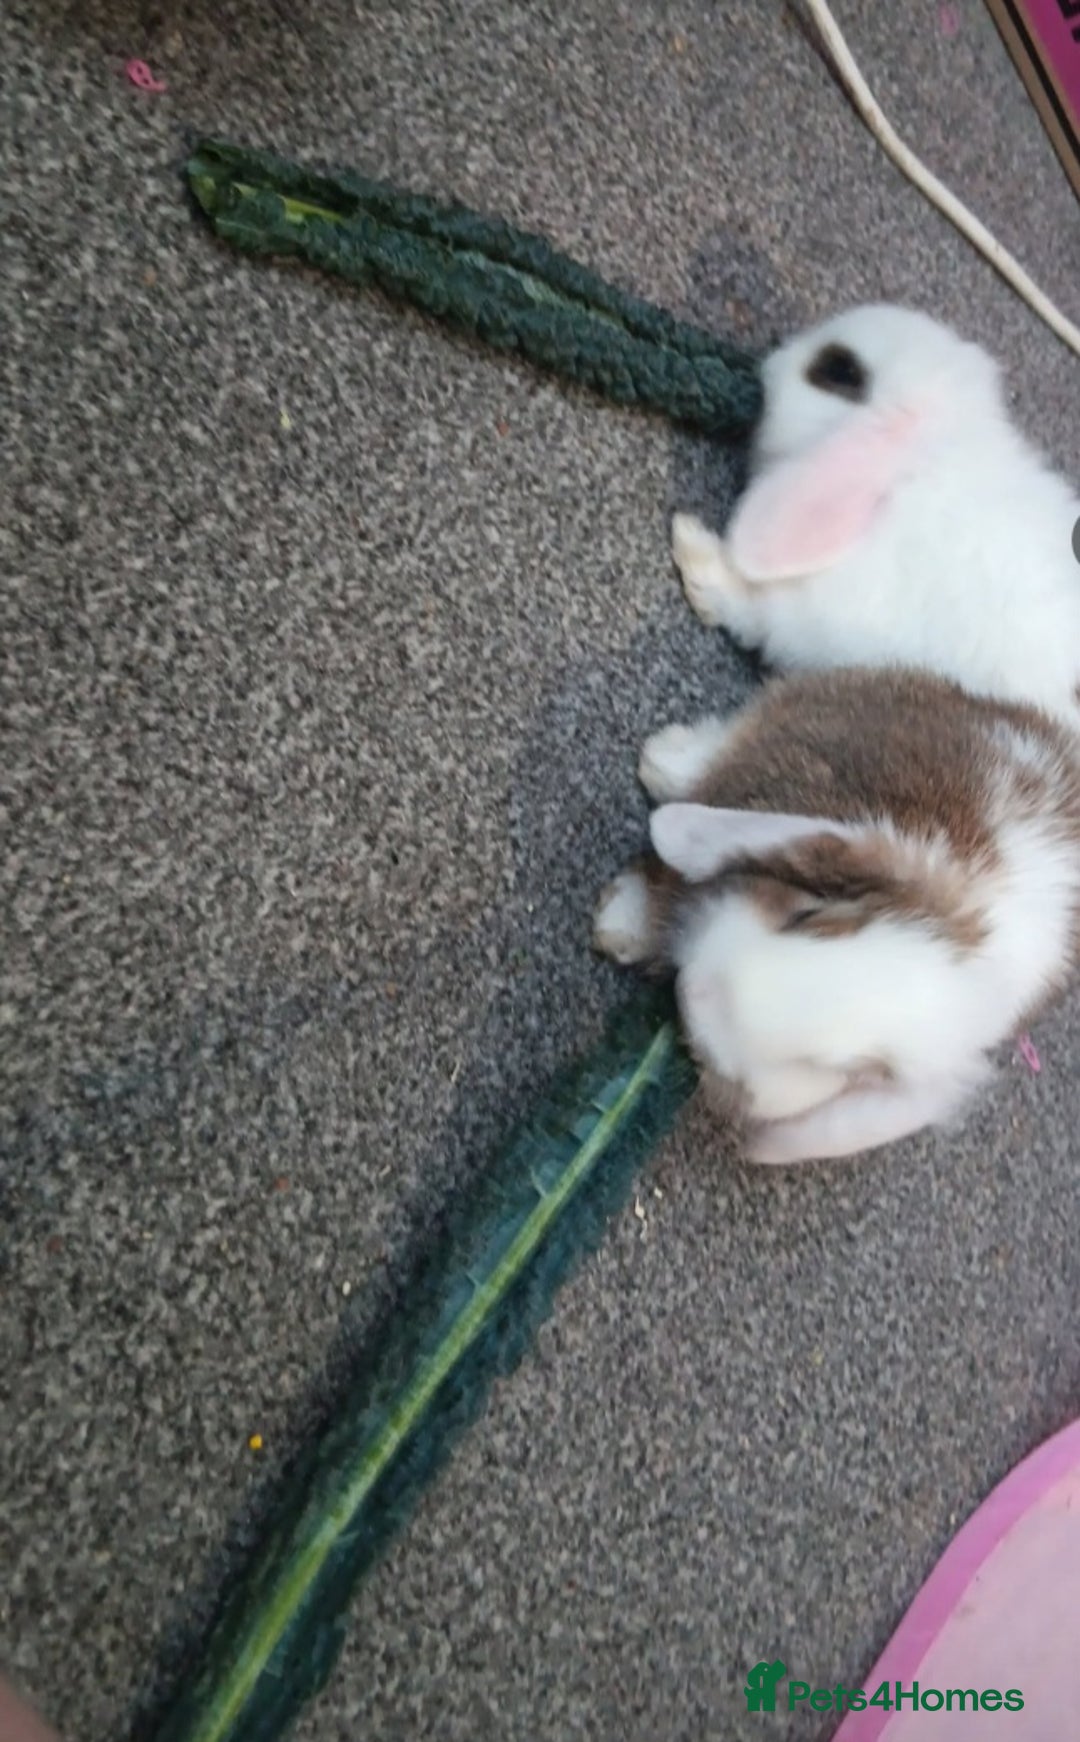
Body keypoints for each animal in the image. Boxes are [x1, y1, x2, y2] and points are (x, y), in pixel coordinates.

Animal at [593, 665, 1080, 1165]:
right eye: (806, 917)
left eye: (844, 1071)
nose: (693, 991)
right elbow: (663, 884)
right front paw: (618, 923)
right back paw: (664, 760)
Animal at [671, 304, 1080, 727]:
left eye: (841, 371)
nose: (773, 355)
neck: (915, 470)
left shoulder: (821, 618)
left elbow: (750, 611)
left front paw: (693, 549)